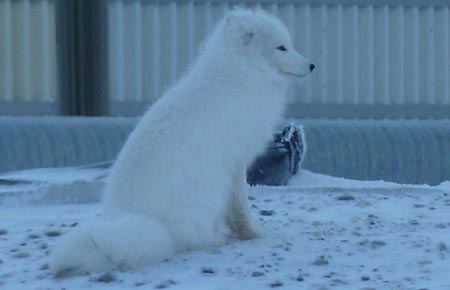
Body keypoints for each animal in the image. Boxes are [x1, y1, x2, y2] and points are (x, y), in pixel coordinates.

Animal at [50, 7, 312, 274]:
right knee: (192, 238)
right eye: (282, 47)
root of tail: (144, 219)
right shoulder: (236, 162)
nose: (312, 65)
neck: (239, 73)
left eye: (288, 45)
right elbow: (240, 203)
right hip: (209, 189)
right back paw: (215, 238)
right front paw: (251, 230)